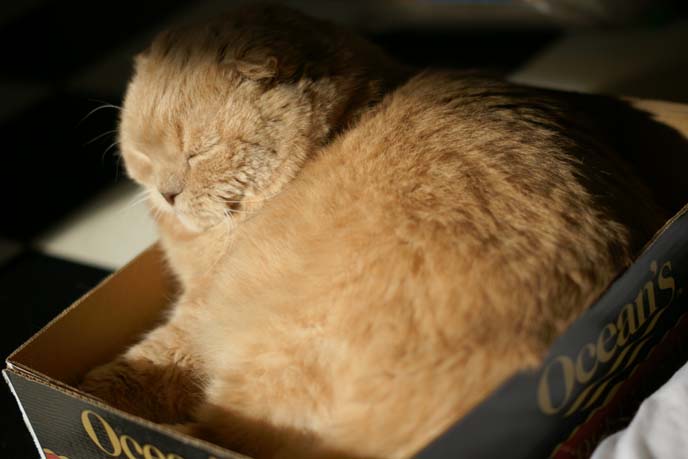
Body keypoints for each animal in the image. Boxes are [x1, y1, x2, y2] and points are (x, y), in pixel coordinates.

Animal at [78, 3, 668, 459]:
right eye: (143, 155)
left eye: (199, 151)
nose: (167, 193)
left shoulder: (197, 314)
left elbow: (144, 364)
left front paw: (94, 390)